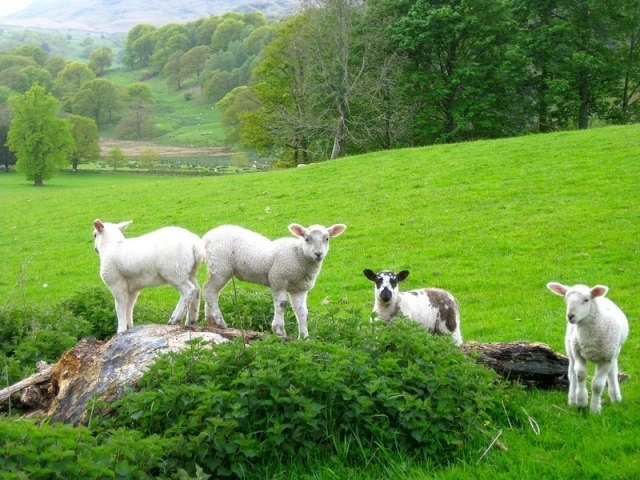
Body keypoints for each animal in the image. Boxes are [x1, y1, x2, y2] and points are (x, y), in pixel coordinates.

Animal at [202, 224, 348, 340]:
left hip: (219, 269)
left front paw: (304, 337)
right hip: (220, 266)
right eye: (307, 239)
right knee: (208, 290)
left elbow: (302, 311)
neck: (299, 255)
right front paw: (279, 331)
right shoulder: (278, 279)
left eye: (326, 239)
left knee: (212, 293)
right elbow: (282, 304)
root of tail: (206, 237)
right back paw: (219, 321)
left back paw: (211, 322)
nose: (318, 254)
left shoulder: (299, 289)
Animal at [544, 284, 632, 414]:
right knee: (572, 373)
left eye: (586, 300)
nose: (570, 316)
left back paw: (616, 397)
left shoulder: (607, 359)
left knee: (612, 371)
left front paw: (595, 409)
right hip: (570, 348)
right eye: (566, 300)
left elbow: (597, 385)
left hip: (614, 351)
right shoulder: (578, 354)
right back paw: (572, 399)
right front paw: (581, 402)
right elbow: (580, 375)